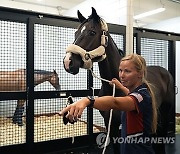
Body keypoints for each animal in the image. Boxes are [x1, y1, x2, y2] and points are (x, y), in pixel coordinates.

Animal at [63, 7, 174, 154]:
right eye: (76, 33)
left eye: (92, 32)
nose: (67, 61)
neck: (113, 89)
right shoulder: (111, 124)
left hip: (165, 113)